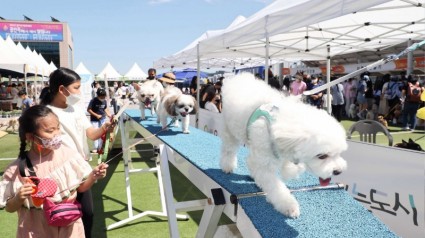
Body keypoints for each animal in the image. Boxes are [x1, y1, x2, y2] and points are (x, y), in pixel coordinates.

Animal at [220, 73, 346, 218]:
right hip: (230, 130)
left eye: (339, 153)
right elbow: (275, 187)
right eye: (322, 156)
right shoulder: (265, 161)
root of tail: (238, 77)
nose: (338, 171)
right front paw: (288, 206)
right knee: (229, 149)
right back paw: (227, 166)